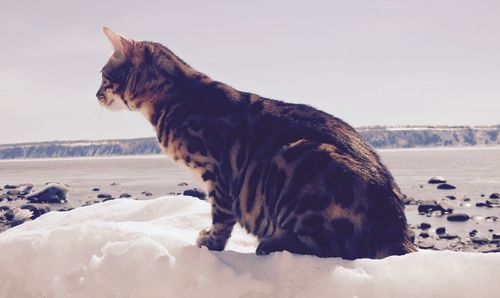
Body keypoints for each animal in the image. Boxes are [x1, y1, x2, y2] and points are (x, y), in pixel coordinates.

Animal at [96, 28, 414, 260]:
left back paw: (273, 243)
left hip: (301, 157)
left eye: (103, 76)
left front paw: (211, 244)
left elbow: (221, 217)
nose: (96, 94)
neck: (172, 99)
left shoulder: (220, 172)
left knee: (331, 248)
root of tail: (397, 231)